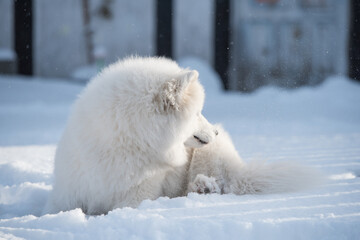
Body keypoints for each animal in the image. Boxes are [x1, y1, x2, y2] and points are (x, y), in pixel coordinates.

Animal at [45, 57, 324, 215]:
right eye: (198, 112)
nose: (216, 131)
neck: (123, 142)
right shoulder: (70, 194)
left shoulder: (138, 197)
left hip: (207, 157)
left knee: (223, 184)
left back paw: (204, 188)